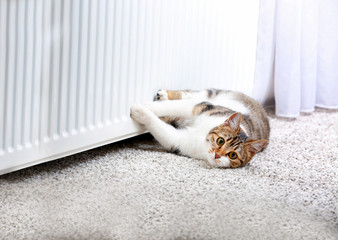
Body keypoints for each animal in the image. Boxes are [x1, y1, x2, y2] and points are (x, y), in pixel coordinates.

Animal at [129, 88, 270, 169]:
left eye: (233, 155)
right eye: (220, 141)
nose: (217, 155)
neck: (203, 135)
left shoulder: (179, 142)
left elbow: (160, 127)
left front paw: (139, 110)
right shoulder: (202, 107)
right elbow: (173, 106)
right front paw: (146, 106)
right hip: (211, 95)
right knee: (191, 95)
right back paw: (163, 95)